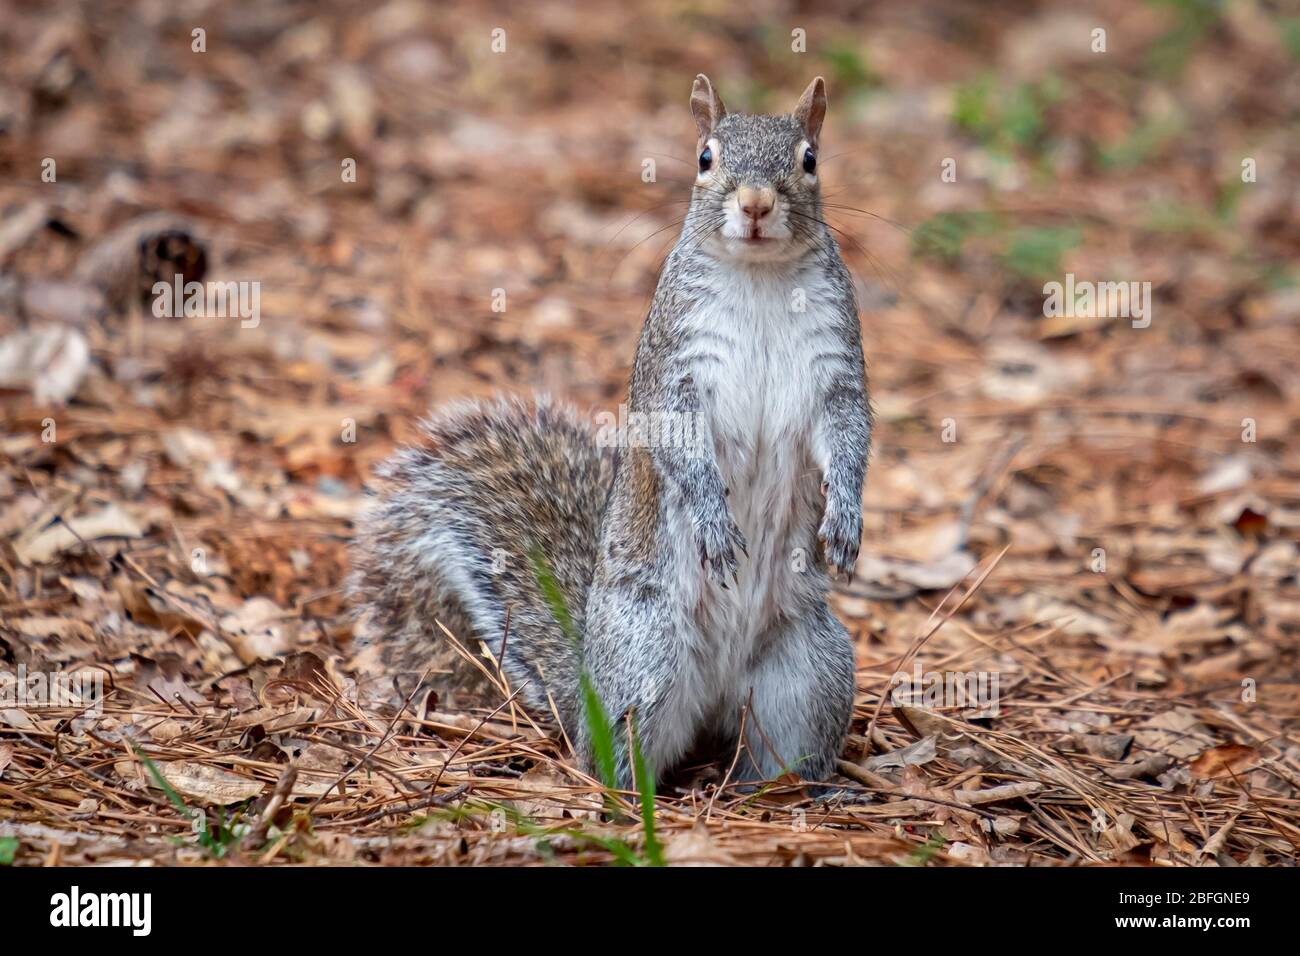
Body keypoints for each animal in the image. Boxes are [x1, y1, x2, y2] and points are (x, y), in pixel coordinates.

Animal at [351, 75, 871, 790]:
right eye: (705, 157)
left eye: (810, 159)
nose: (756, 203)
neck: (760, 276)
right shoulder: (672, 367)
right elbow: (680, 441)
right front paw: (713, 519)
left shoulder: (835, 364)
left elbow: (849, 432)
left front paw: (845, 515)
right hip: (644, 659)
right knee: (612, 751)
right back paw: (624, 793)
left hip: (810, 669)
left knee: (782, 752)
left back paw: (809, 794)